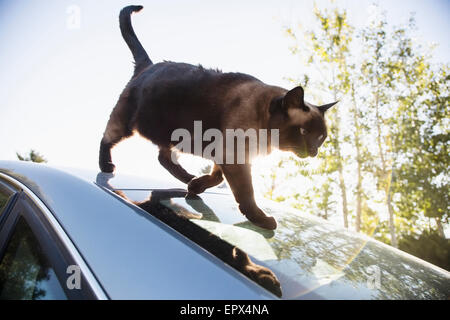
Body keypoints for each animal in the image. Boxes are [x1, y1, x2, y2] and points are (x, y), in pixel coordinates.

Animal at [99, 5, 338, 230]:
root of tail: (149, 64)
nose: (314, 152)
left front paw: (196, 186)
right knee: (107, 139)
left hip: (171, 136)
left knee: (163, 158)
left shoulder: (226, 156)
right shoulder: (235, 158)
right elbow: (245, 193)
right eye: (304, 132)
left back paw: (187, 178)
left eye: (321, 138)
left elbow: (217, 177)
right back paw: (107, 166)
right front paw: (262, 220)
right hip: (126, 124)